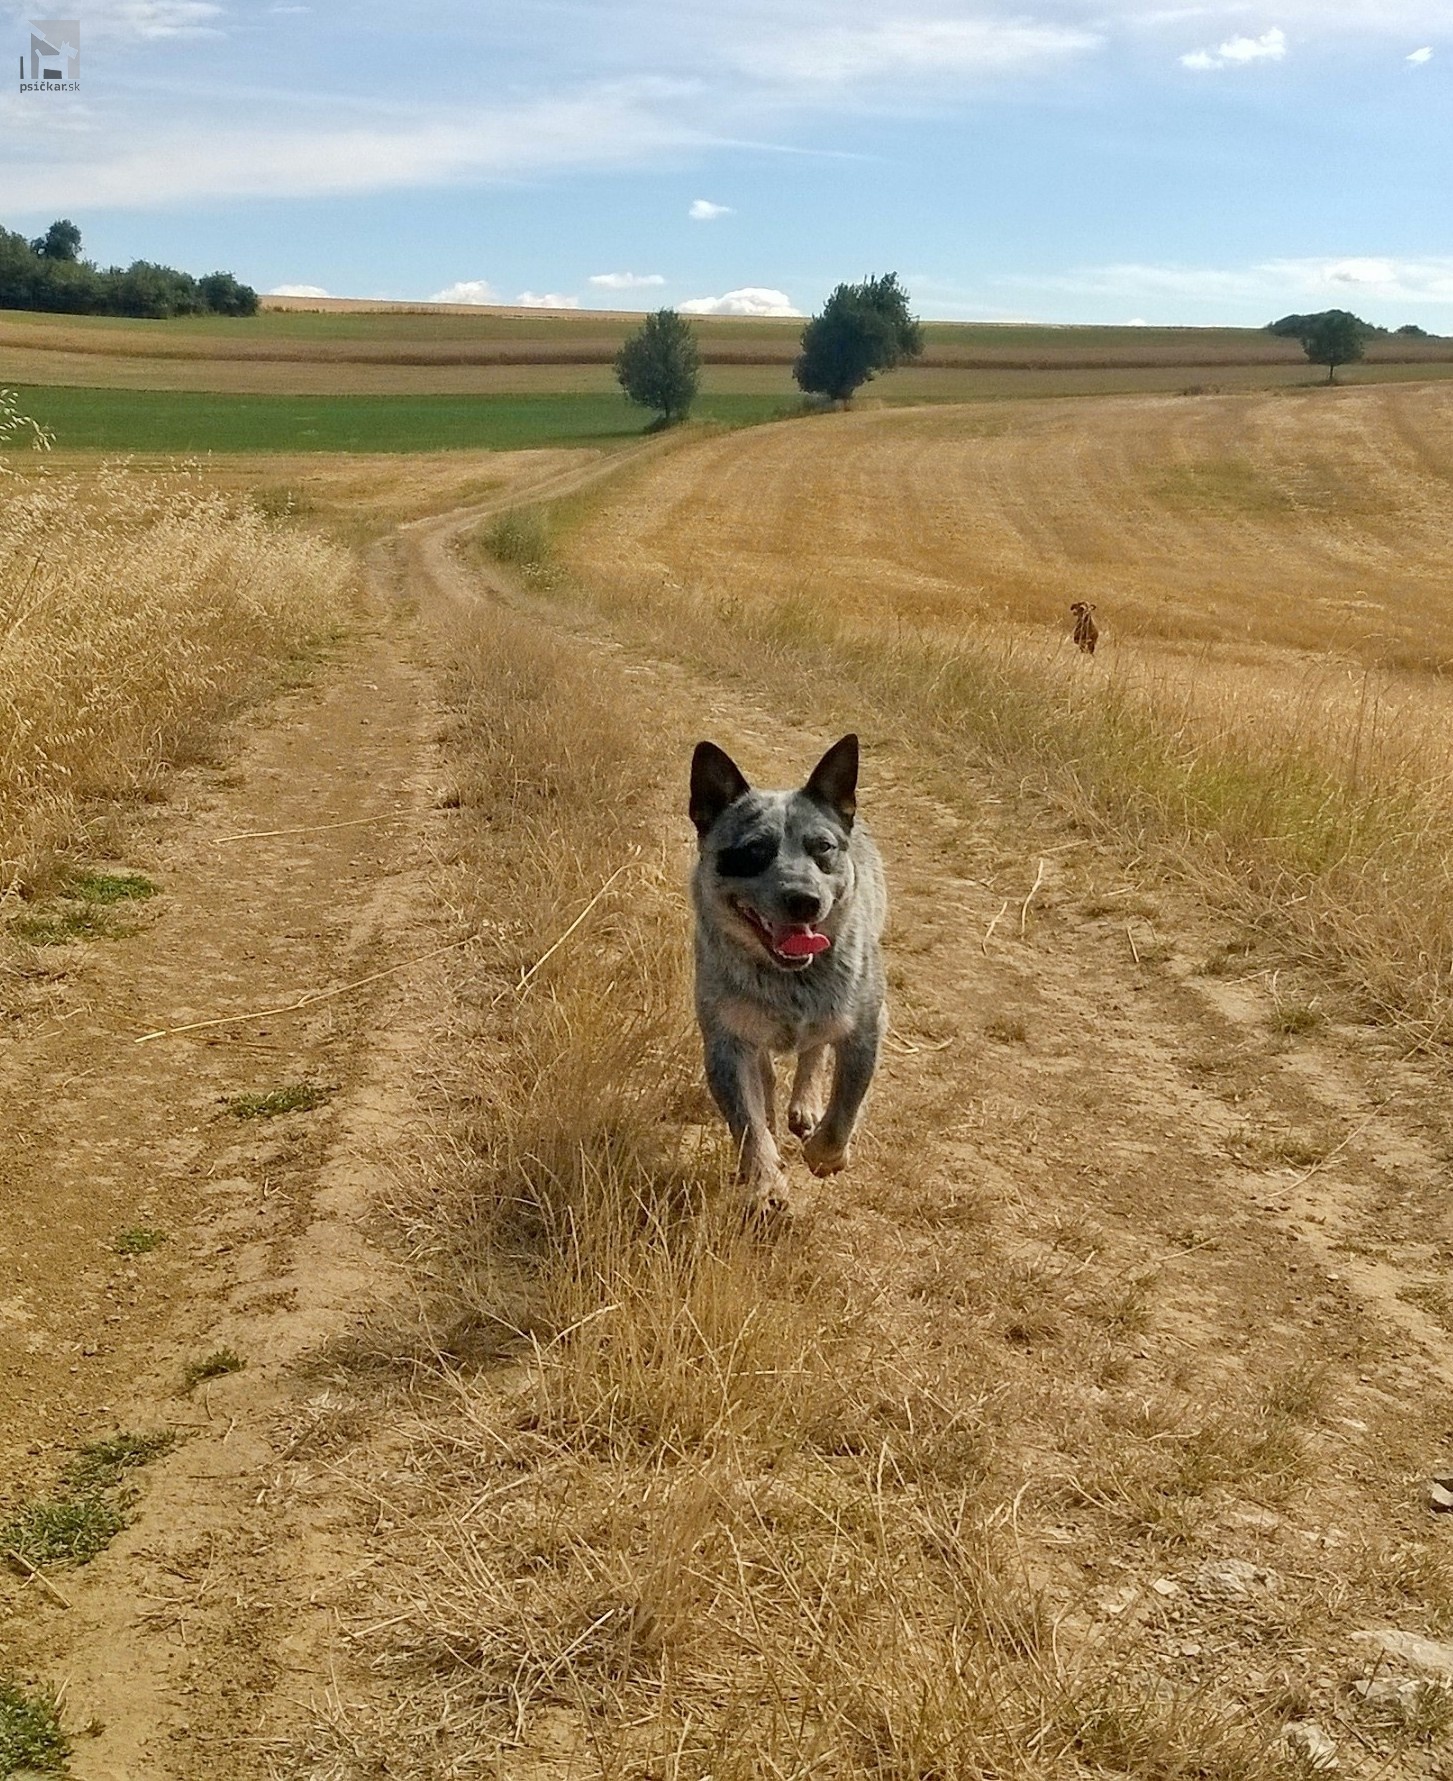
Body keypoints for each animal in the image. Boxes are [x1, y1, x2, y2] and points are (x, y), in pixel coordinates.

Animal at [690, 730, 886, 1218]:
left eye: (823, 848)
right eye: (754, 851)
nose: (804, 900)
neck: (791, 981)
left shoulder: (867, 1028)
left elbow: (846, 1104)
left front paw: (826, 1155)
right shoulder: (726, 1043)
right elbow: (748, 1122)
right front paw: (765, 1183)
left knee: (815, 1050)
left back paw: (805, 1106)